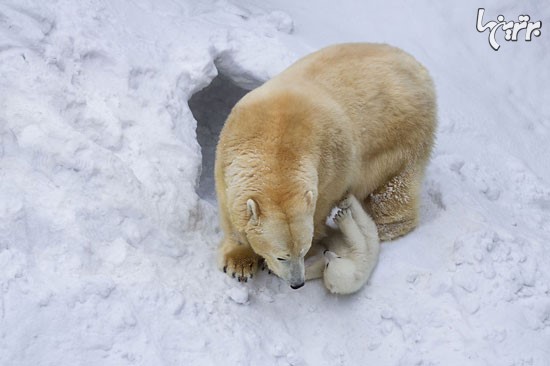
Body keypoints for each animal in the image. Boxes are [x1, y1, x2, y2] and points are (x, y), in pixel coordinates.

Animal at [213, 42, 438, 288]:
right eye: (282, 256)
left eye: (302, 251)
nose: (297, 283)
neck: (276, 145)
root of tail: (420, 70)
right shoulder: (228, 156)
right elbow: (231, 212)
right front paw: (239, 265)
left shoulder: (331, 169)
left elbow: (319, 210)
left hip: (400, 136)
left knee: (393, 189)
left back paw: (382, 226)